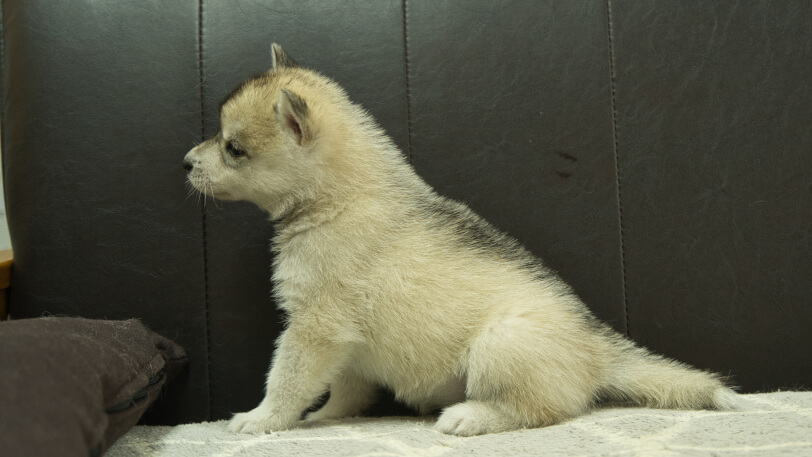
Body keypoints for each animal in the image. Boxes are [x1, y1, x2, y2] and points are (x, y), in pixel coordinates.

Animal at [184, 44, 736, 436]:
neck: (336, 198)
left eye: (233, 149)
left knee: (543, 409)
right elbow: (345, 387)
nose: (187, 162)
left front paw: (263, 418)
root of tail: (598, 346)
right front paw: (326, 417)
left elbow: (287, 378)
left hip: (501, 343)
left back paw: (472, 416)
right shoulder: (346, 342)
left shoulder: (316, 326)